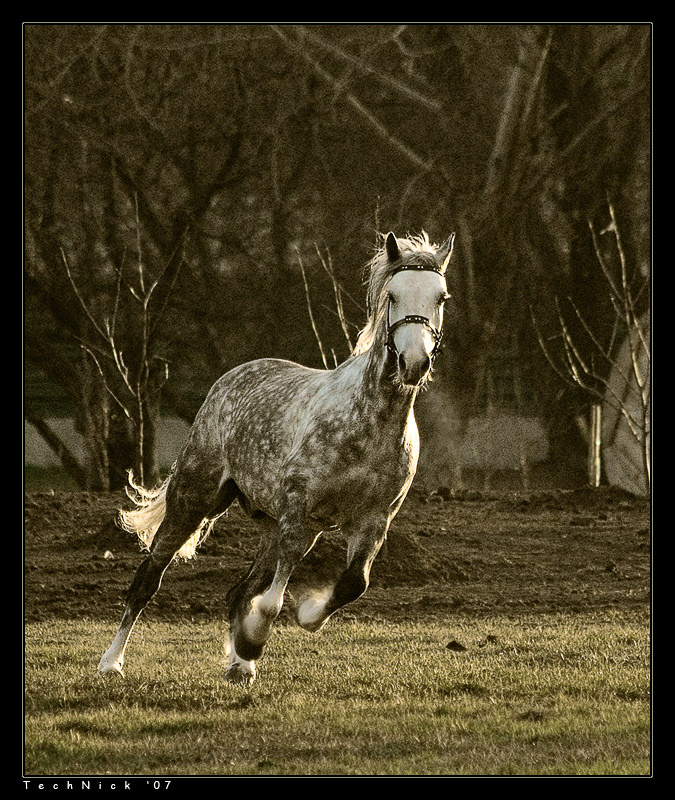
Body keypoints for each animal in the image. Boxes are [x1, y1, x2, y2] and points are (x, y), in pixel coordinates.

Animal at [98, 231, 455, 685]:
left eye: (441, 297)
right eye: (392, 295)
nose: (414, 363)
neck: (367, 424)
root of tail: (228, 380)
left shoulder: (373, 521)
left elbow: (353, 584)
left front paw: (293, 622)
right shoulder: (297, 511)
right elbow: (271, 602)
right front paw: (256, 640)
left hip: (269, 525)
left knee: (238, 591)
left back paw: (238, 666)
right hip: (194, 501)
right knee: (148, 580)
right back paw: (112, 662)